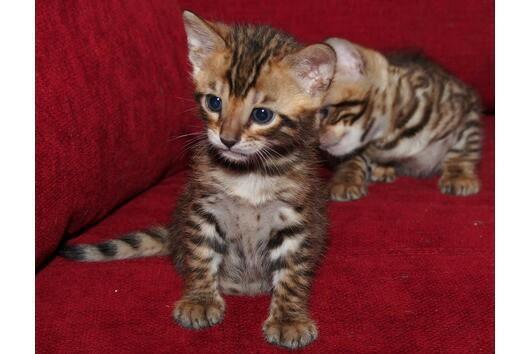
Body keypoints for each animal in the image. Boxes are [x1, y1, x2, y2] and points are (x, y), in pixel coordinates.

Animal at [60, 10, 334, 348]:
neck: (250, 173)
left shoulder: (296, 217)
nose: (227, 139)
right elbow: (201, 254)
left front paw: (289, 318)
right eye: (214, 102)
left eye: (262, 115)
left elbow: (293, 271)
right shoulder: (203, 208)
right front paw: (200, 300)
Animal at [318, 38, 484, 202]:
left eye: (325, 111)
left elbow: (463, 149)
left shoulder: (467, 110)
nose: (318, 142)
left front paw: (458, 176)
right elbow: (352, 158)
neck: (394, 135)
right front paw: (346, 179)